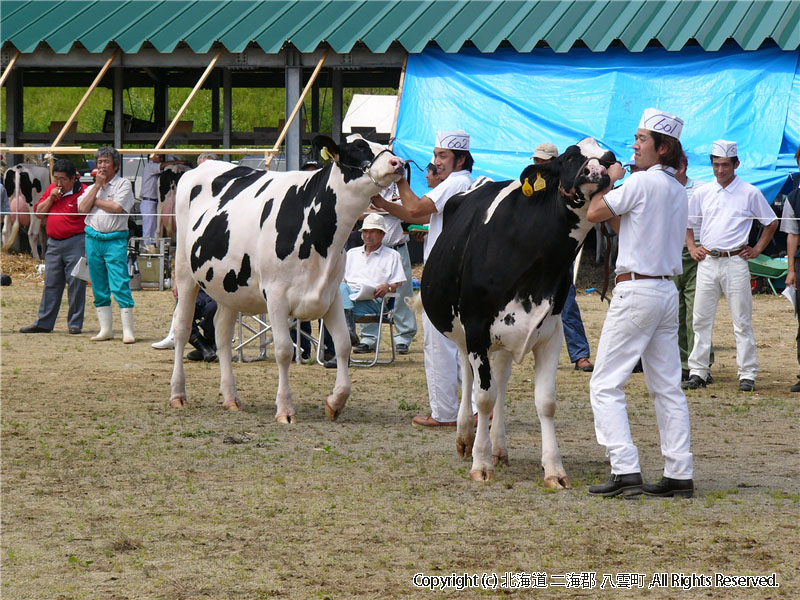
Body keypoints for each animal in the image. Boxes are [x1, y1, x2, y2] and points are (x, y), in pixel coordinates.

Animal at [170, 135, 406, 422]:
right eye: (359, 147)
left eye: (386, 146)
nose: (398, 162)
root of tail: (201, 168)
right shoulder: (275, 295)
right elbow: (284, 350)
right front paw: (284, 409)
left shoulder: (331, 294)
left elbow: (342, 344)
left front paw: (335, 401)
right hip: (185, 271)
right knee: (182, 327)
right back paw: (178, 394)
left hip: (229, 285)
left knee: (222, 332)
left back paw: (230, 398)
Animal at [422, 139, 616, 488]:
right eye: (571, 157)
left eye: (610, 159)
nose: (596, 171)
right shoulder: (476, 326)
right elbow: (483, 397)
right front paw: (481, 463)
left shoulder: (550, 333)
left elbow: (546, 402)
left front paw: (554, 470)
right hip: (462, 333)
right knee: (471, 379)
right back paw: (465, 438)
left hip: (503, 338)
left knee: (500, 378)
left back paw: (499, 447)